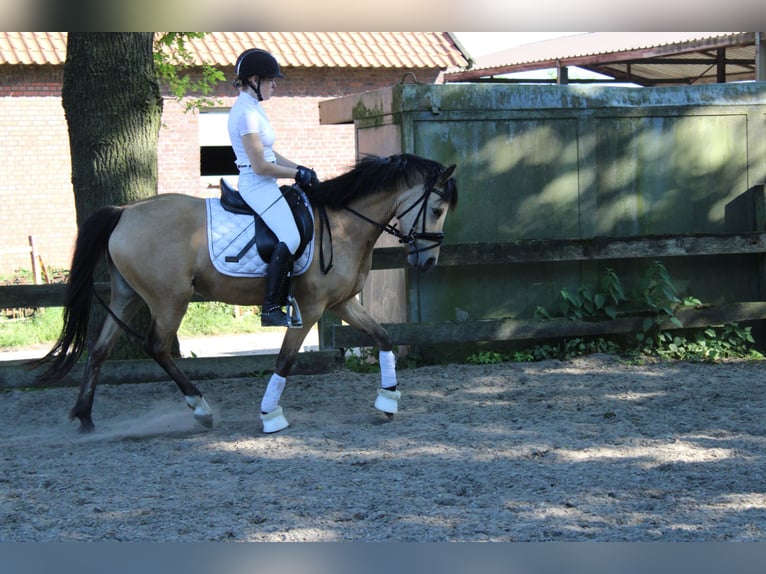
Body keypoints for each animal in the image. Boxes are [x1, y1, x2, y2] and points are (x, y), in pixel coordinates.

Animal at [33, 155, 460, 434]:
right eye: (438, 207)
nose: (428, 261)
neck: (343, 224)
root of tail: (125, 211)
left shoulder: (342, 303)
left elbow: (384, 337)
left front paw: (388, 402)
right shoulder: (311, 308)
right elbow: (285, 361)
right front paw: (271, 416)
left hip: (128, 296)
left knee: (99, 349)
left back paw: (85, 417)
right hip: (169, 300)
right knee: (156, 347)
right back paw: (200, 409)